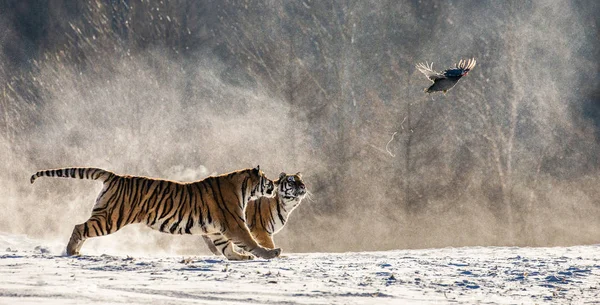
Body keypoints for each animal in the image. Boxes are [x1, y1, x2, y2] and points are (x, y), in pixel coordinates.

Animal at [28, 165, 282, 260]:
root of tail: (115, 176)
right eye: (267, 180)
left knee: (82, 227)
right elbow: (250, 240)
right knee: (79, 227)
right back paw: (71, 251)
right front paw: (270, 253)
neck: (244, 189)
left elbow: (226, 247)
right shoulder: (234, 224)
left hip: (105, 214)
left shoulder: (215, 229)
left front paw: (239, 257)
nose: (275, 184)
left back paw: (75, 250)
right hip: (111, 219)